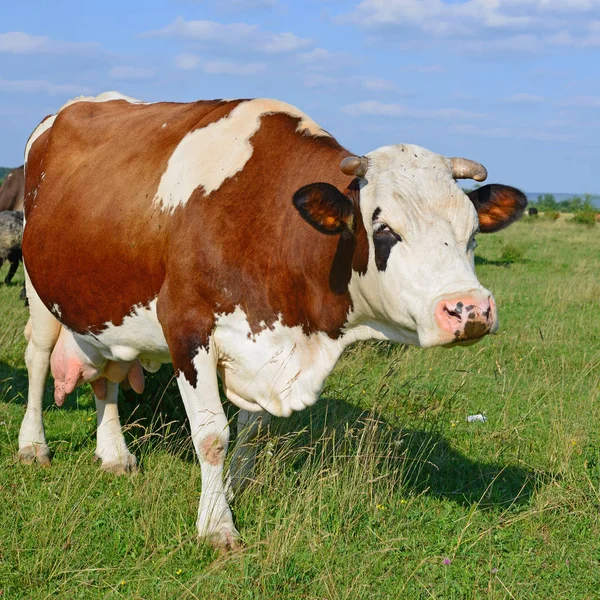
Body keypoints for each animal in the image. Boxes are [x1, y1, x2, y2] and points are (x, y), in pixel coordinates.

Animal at [18, 91, 524, 552]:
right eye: (385, 230)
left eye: (472, 233)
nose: (470, 309)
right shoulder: (187, 328)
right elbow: (212, 436)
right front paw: (217, 524)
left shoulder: (262, 347)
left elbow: (251, 432)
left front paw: (235, 489)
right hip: (38, 289)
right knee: (38, 360)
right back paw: (33, 445)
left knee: (108, 375)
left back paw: (114, 453)